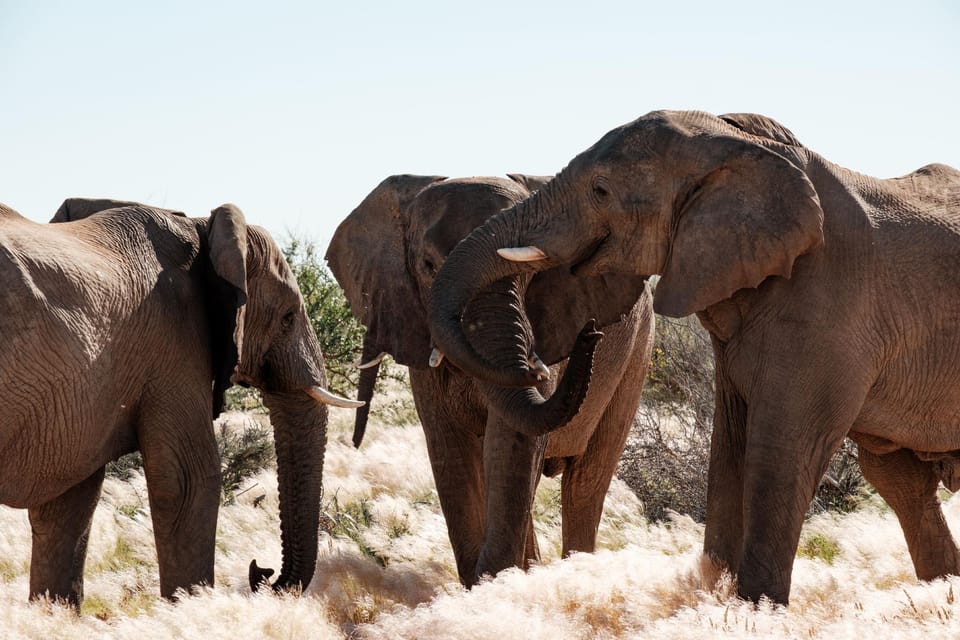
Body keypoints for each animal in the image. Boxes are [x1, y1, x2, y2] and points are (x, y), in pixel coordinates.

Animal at [0, 198, 362, 608]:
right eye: (287, 318)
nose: (263, 572)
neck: (201, 228)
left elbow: (67, 503)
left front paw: (54, 614)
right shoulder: (175, 343)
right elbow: (189, 481)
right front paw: (191, 608)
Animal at [325, 174, 654, 586]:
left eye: (532, 272)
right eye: (428, 265)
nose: (590, 332)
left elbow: (513, 442)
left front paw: (495, 585)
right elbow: (451, 451)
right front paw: (488, 586)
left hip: (638, 352)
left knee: (585, 484)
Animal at [427, 110, 960, 605]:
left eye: (600, 190)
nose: (589, 333)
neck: (741, 148)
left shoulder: (830, 309)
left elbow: (783, 450)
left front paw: (754, 611)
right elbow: (731, 446)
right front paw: (717, 596)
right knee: (899, 479)